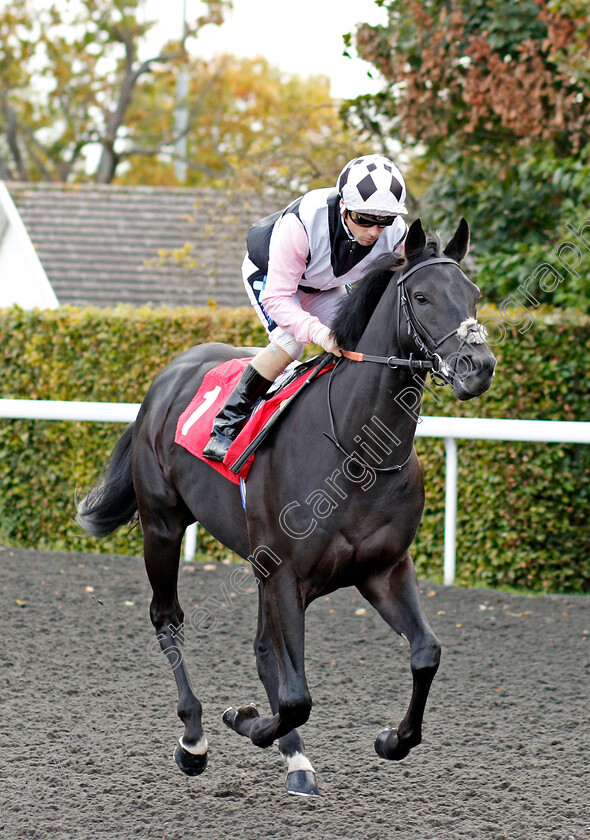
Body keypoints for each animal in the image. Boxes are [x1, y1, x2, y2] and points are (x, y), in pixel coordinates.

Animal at [77, 217, 494, 796]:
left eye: (473, 294)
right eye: (422, 296)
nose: (479, 366)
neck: (355, 448)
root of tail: (169, 375)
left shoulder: (382, 569)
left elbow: (425, 653)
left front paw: (392, 739)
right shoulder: (285, 573)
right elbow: (297, 696)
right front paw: (245, 721)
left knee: (260, 649)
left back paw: (292, 756)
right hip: (162, 526)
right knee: (168, 618)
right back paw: (194, 737)